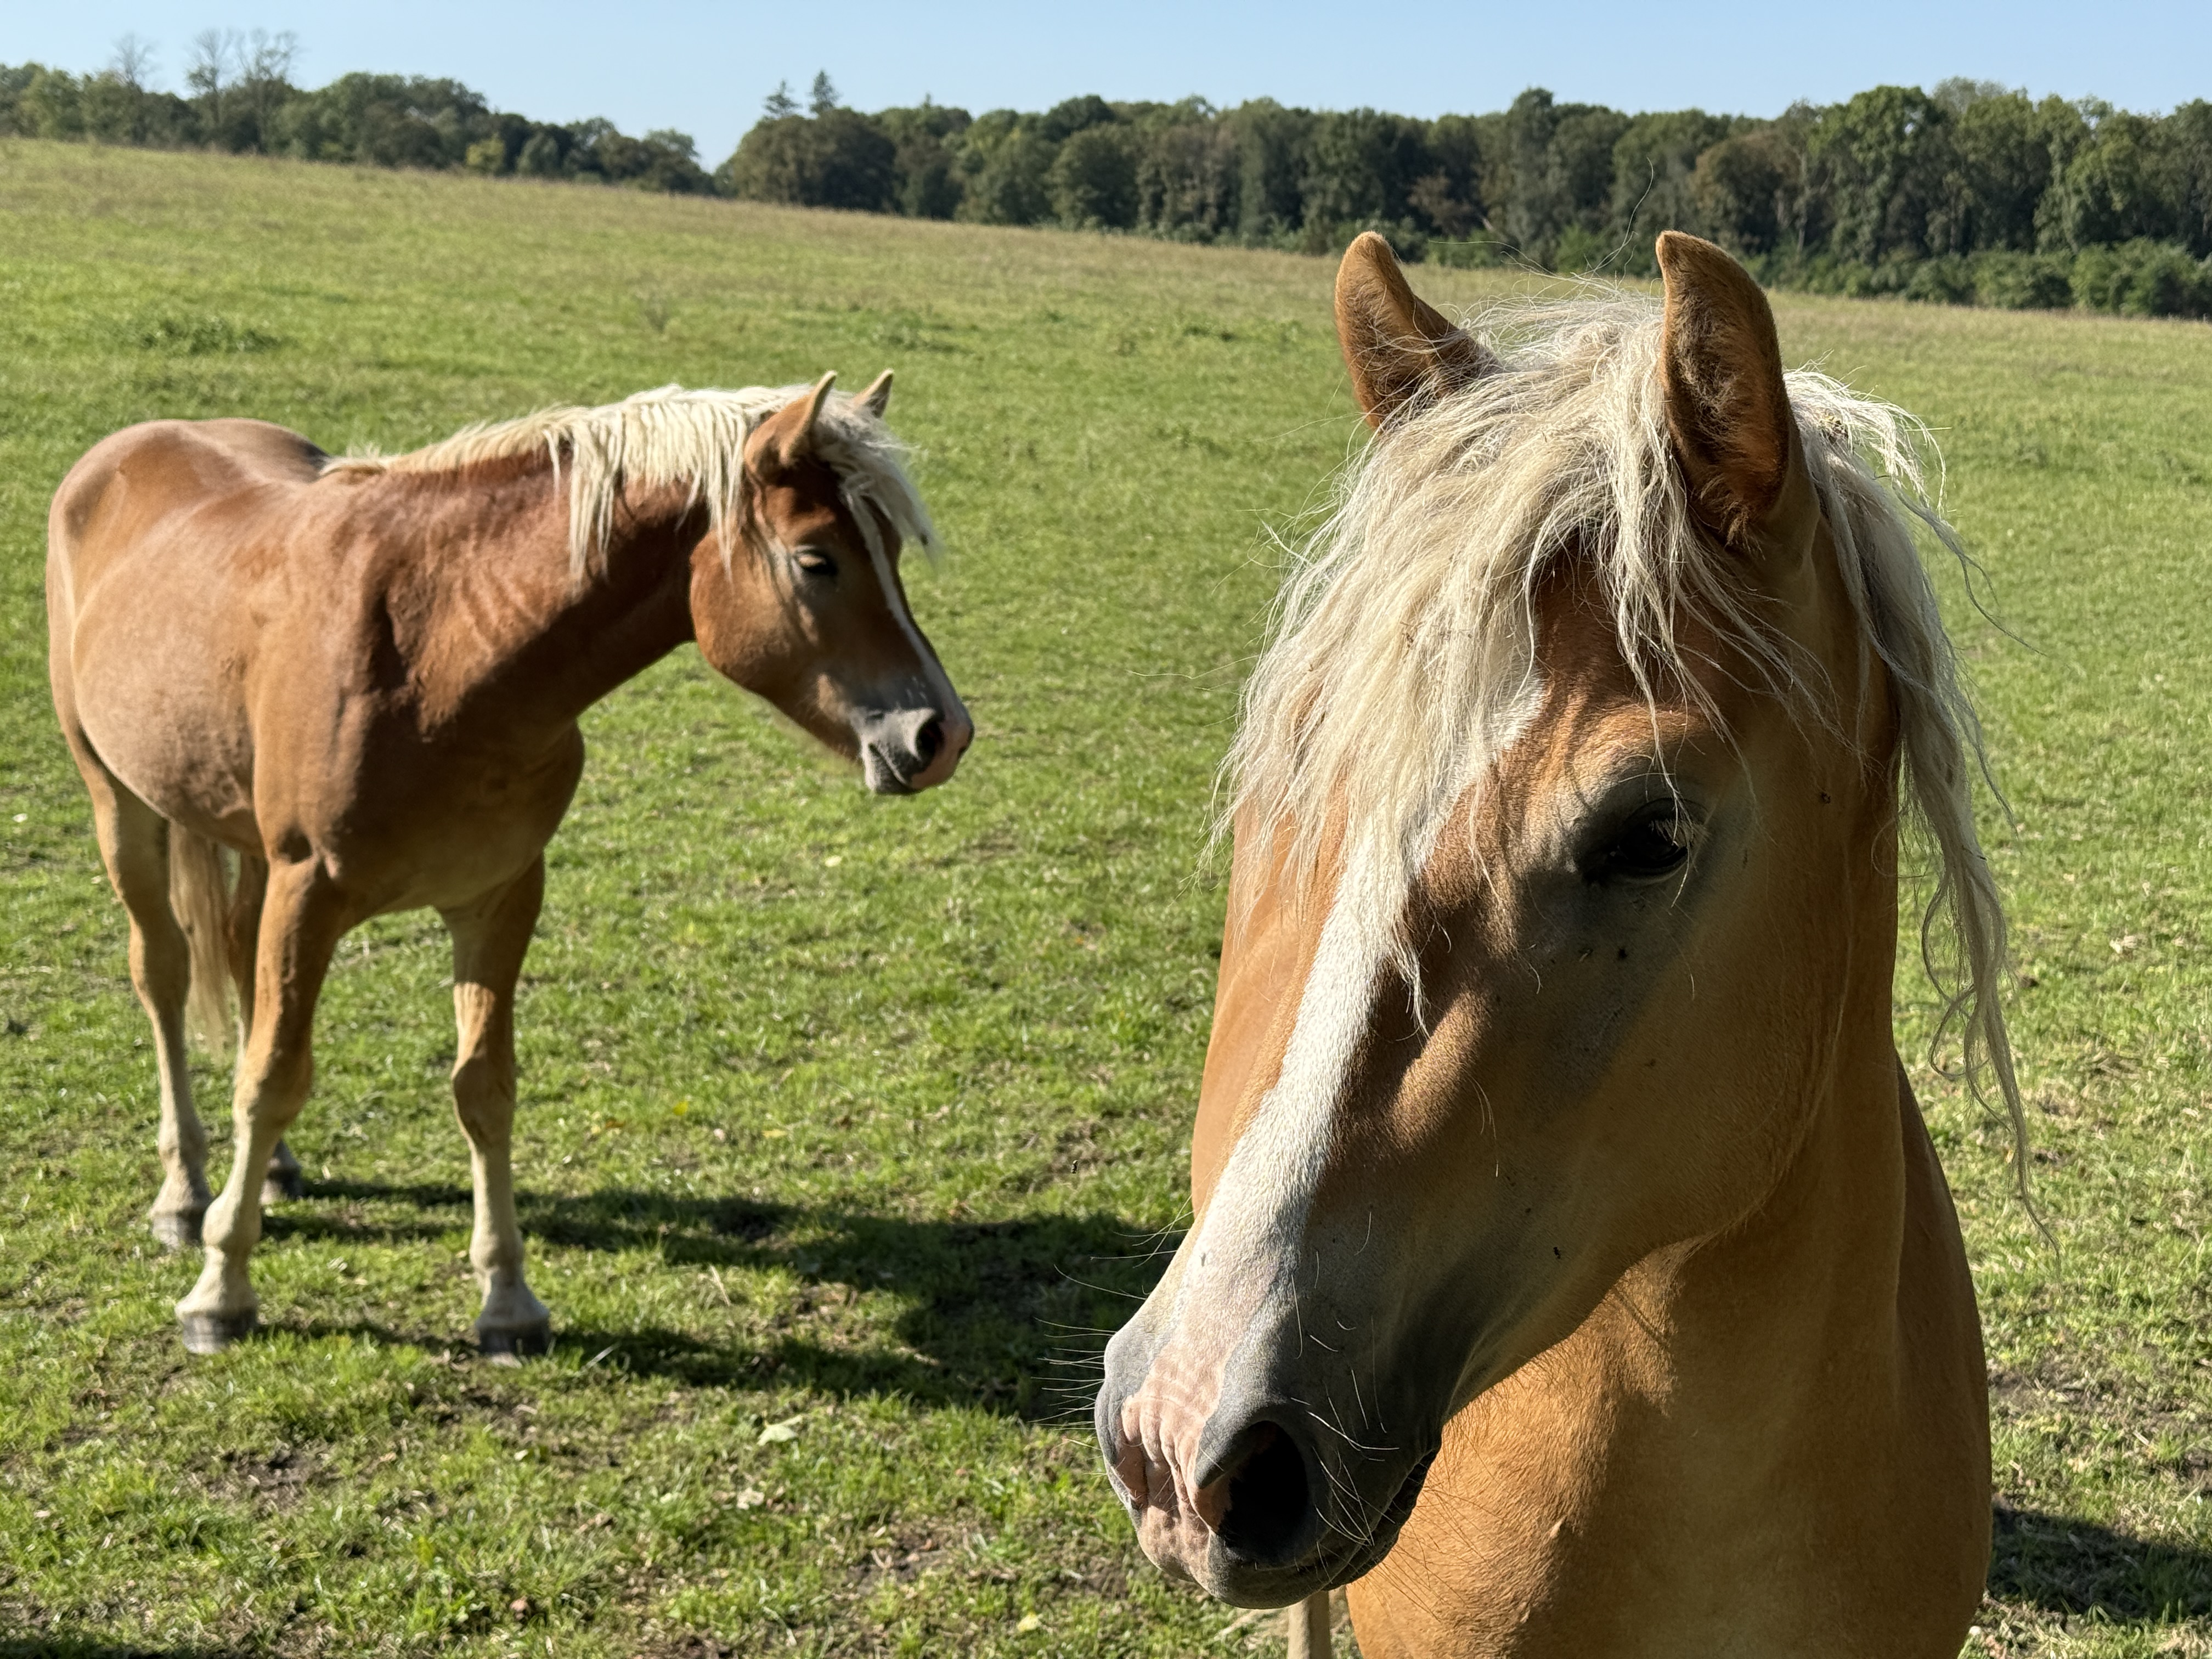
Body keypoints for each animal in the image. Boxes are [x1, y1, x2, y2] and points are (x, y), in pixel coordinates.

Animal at [48, 372, 971, 1357]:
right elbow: (270, 1081)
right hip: (119, 802)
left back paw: (270, 1174)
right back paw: (187, 1193)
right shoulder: (310, 893)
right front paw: (220, 1289)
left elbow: (482, 1088)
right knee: (164, 975)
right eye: (816, 560)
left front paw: (508, 1300)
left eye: (892, 552)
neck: (437, 651)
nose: (940, 734)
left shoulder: (498, 895)